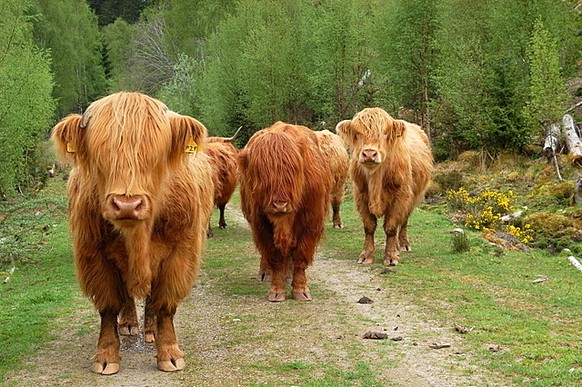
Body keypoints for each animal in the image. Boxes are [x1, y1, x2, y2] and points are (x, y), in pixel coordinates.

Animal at [51, 92, 216, 374]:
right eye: (100, 156)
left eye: (156, 156)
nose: (127, 204)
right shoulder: (93, 255)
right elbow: (108, 307)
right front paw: (106, 356)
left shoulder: (181, 254)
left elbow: (165, 305)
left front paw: (169, 354)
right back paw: (129, 324)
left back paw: (150, 330)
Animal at [238, 121, 334, 304]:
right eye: (261, 172)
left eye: (294, 170)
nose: (280, 205)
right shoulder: (261, 225)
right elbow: (275, 257)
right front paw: (276, 291)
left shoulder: (311, 223)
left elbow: (300, 257)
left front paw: (301, 290)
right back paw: (265, 273)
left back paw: (289, 276)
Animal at [338, 108, 434, 266]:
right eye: (358, 133)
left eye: (384, 133)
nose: (369, 153)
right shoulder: (360, 196)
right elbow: (369, 227)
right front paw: (366, 255)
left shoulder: (400, 196)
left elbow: (391, 227)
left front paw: (390, 257)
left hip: (413, 197)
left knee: (404, 220)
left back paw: (402, 245)